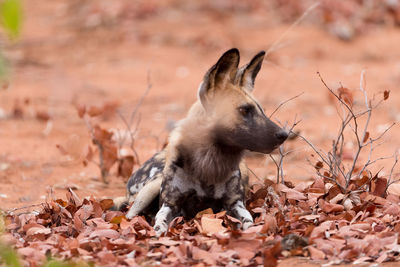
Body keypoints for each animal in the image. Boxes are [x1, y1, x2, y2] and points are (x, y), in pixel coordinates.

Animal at [114, 48, 290, 237]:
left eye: (261, 110)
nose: (284, 134)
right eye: (244, 110)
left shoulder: (235, 204)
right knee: (129, 214)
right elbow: (160, 223)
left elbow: (248, 222)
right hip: (148, 190)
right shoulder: (170, 205)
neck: (208, 162)